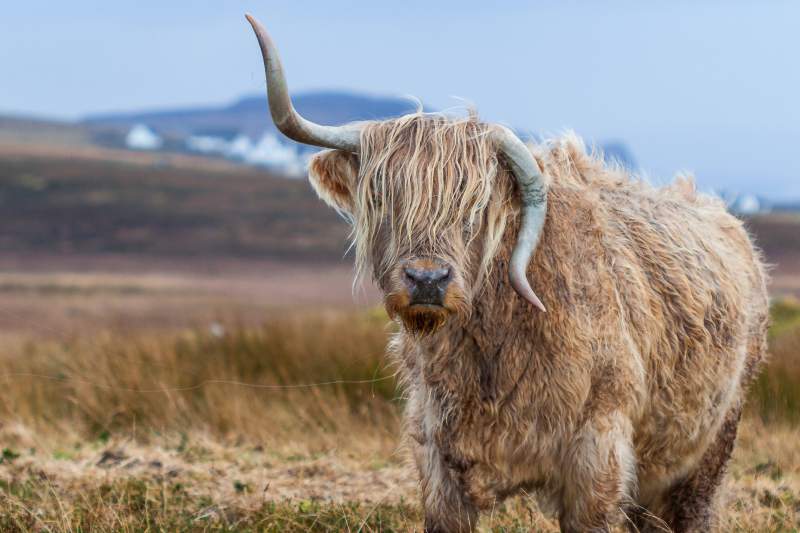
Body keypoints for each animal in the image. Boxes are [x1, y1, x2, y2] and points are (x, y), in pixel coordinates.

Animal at [246, 15, 769, 532]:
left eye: (475, 206)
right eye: (383, 197)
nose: (427, 280)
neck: (490, 347)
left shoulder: (598, 453)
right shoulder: (436, 456)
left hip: (715, 438)